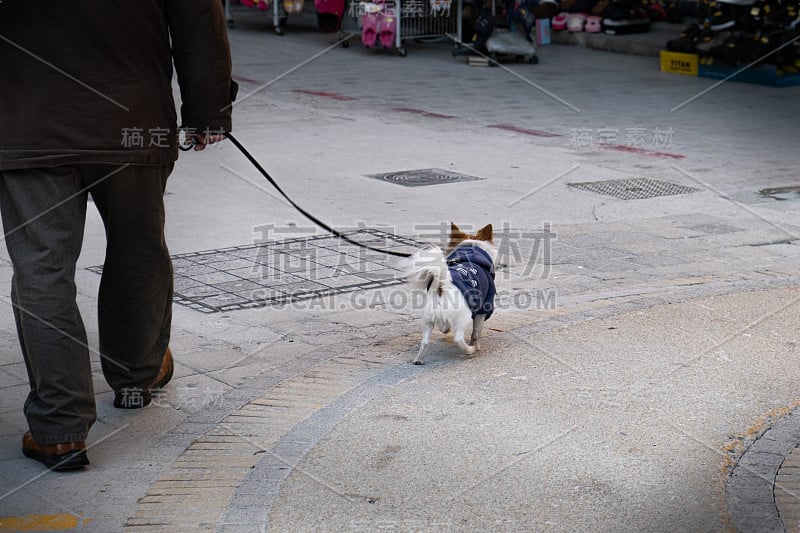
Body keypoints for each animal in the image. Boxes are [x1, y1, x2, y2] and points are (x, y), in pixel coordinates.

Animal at [410, 222, 496, 364]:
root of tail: (442, 284)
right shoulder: (483, 308)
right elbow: (476, 332)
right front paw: (476, 346)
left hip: (428, 318)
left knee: (425, 341)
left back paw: (418, 359)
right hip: (463, 316)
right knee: (458, 338)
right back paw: (469, 350)